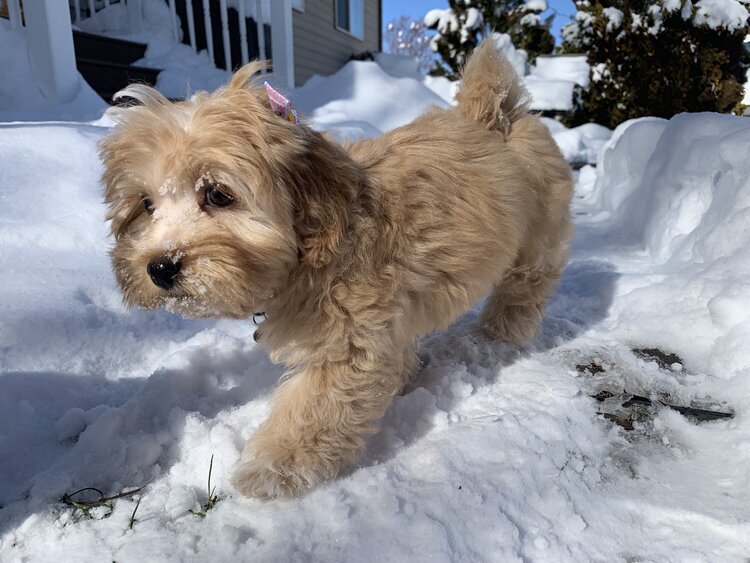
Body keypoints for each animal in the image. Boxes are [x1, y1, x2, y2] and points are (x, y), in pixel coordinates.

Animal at [98, 38, 568, 498]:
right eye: (146, 205)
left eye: (217, 194)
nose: (160, 267)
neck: (318, 239)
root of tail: (495, 116)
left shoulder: (351, 332)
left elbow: (319, 402)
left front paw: (276, 466)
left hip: (539, 238)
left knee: (526, 284)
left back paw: (506, 330)